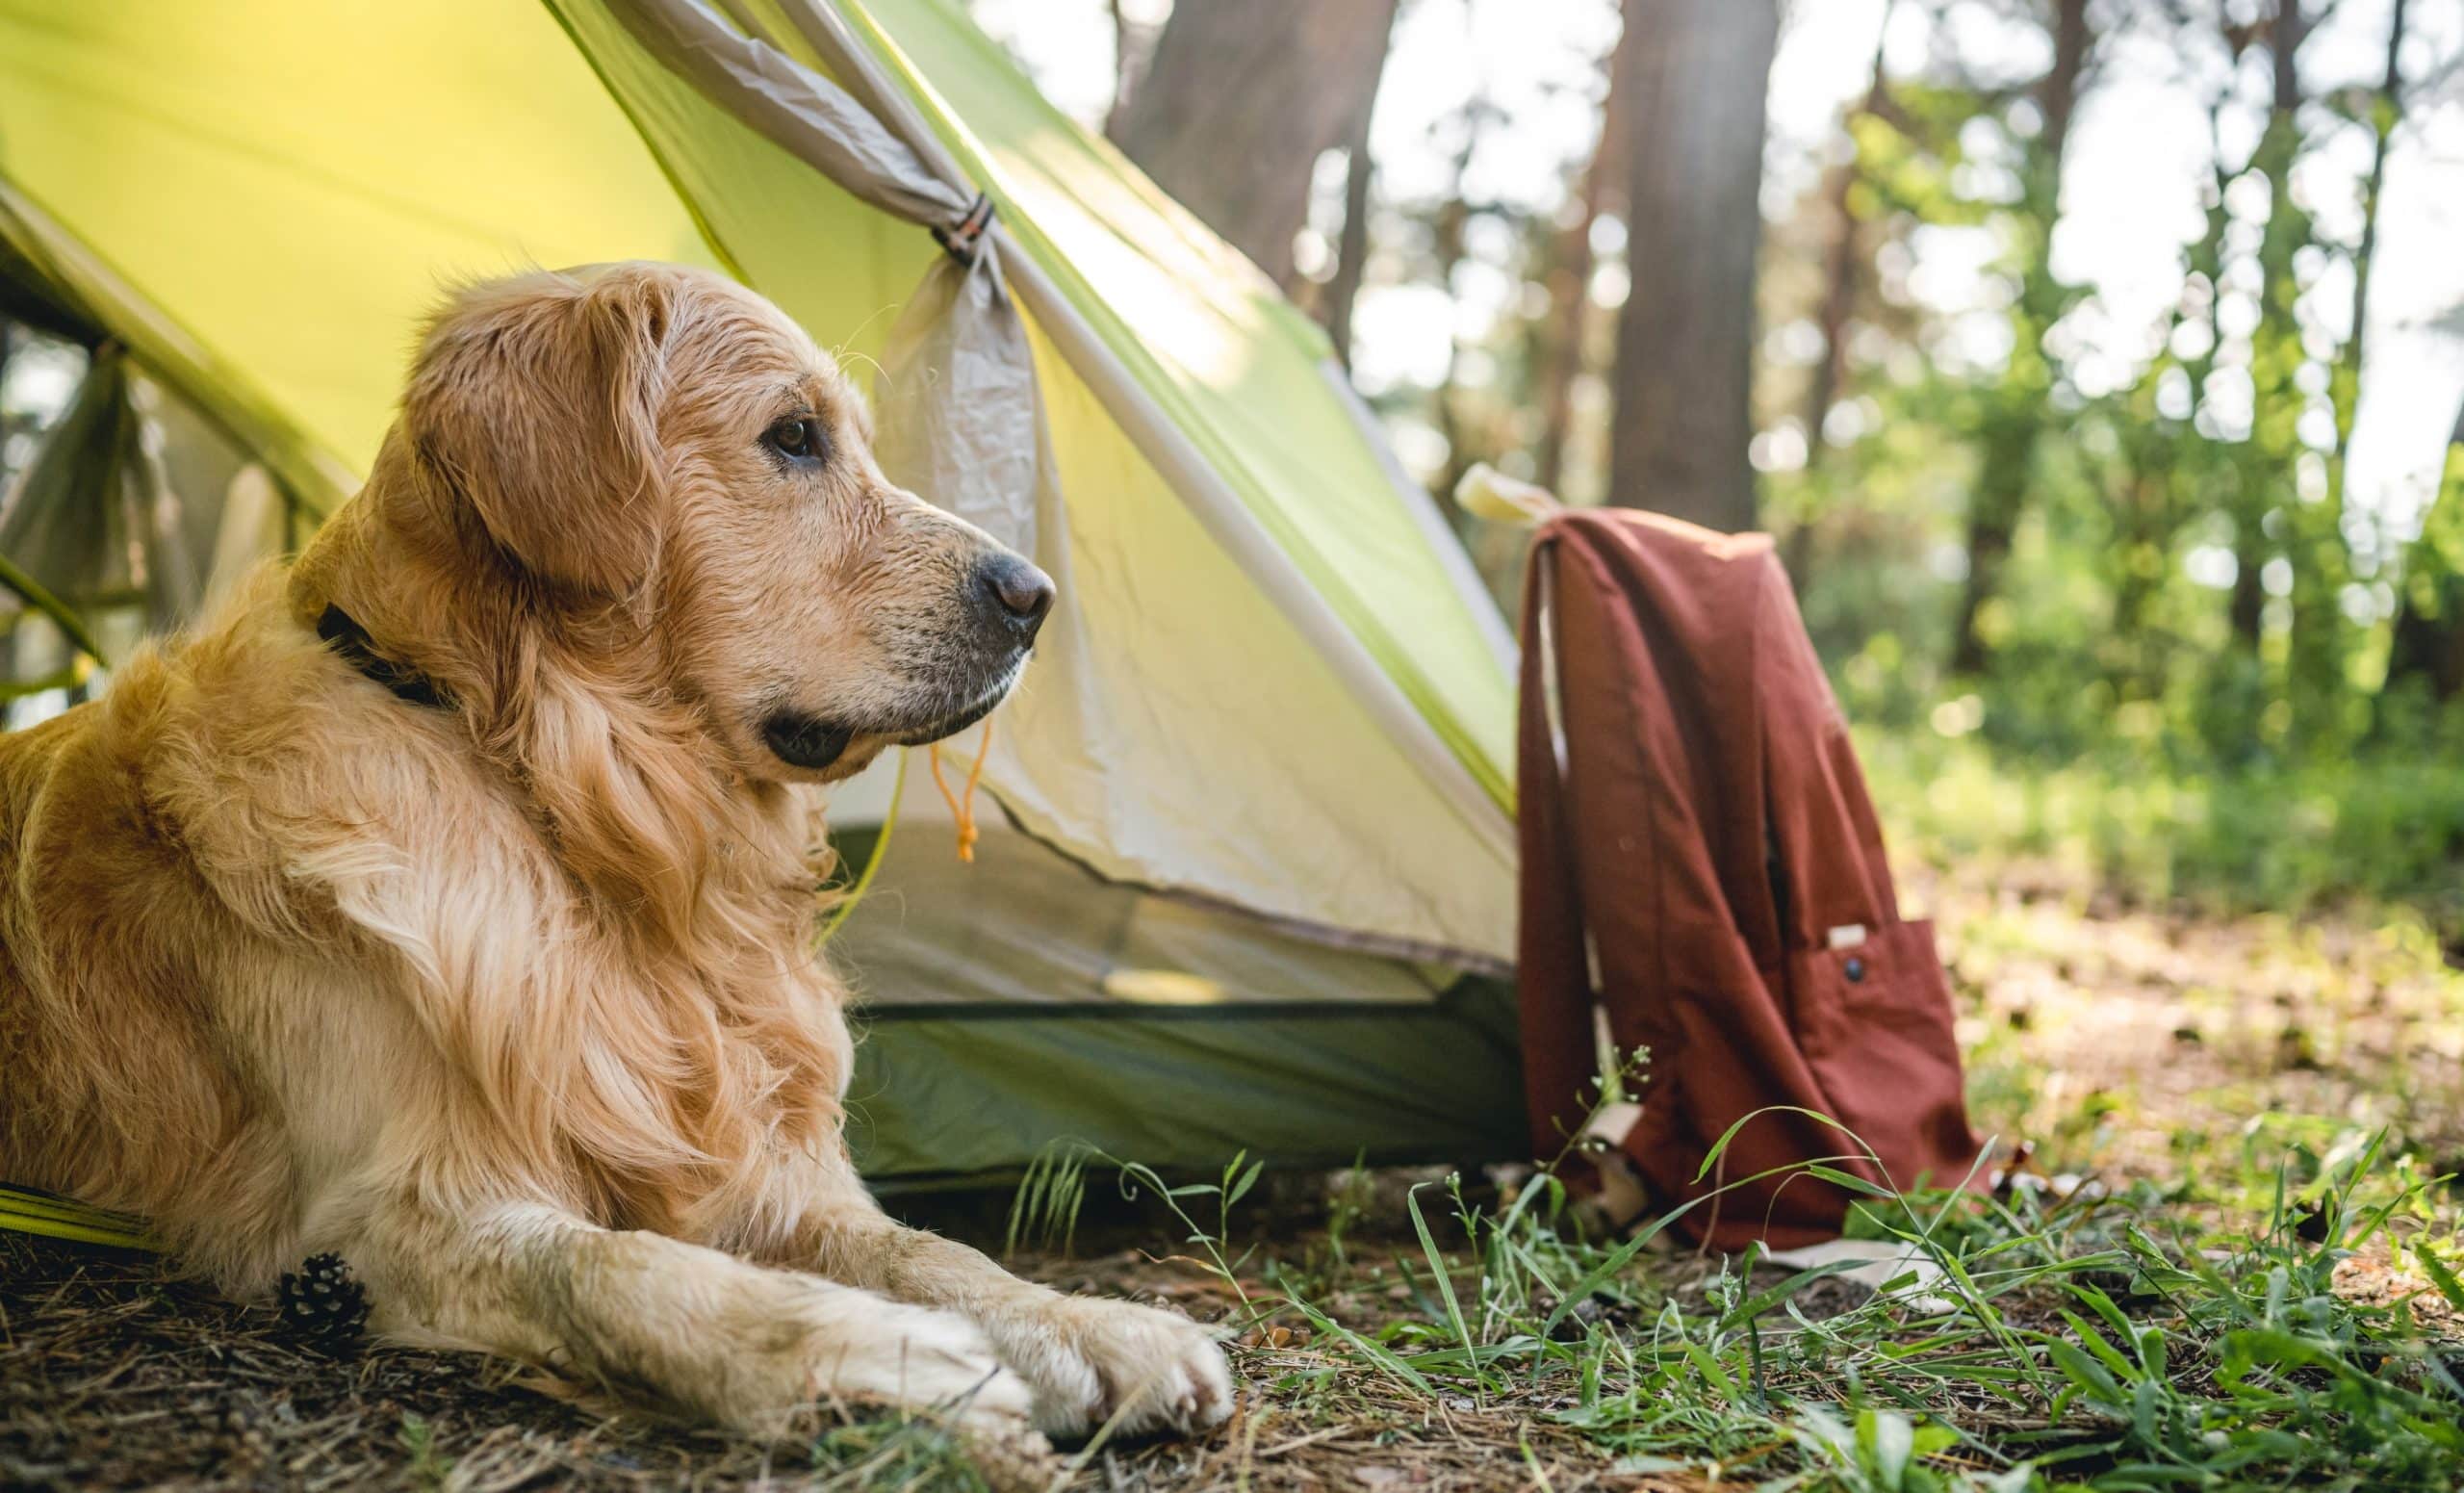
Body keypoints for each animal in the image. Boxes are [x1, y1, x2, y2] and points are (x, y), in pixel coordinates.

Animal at [0, 263, 1226, 1448]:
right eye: (793, 436)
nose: (1035, 598)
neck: (582, 812)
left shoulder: (763, 1166)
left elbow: (923, 1248)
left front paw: (1087, 1324)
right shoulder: (373, 1223)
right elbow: (616, 1268)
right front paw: (875, 1355)